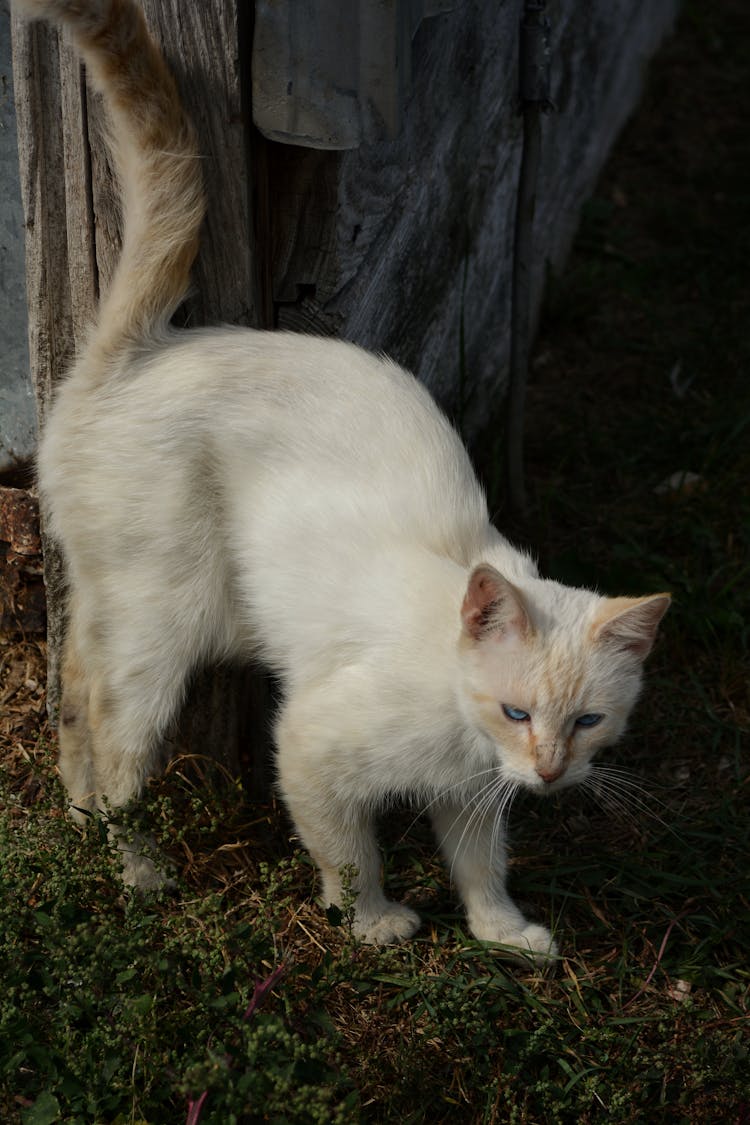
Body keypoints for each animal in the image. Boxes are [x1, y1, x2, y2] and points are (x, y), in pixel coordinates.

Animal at [20, 2, 670, 967]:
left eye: (589, 721)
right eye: (517, 710)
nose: (552, 772)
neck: (469, 730)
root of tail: (144, 349)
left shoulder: (473, 795)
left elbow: (481, 864)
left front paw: (503, 934)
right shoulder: (309, 746)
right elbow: (349, 852)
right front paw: (372, 924)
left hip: (141, 606)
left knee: (70, 696)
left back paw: (82, 824)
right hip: (167, 620)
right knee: (110, 734)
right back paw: (134, 868)